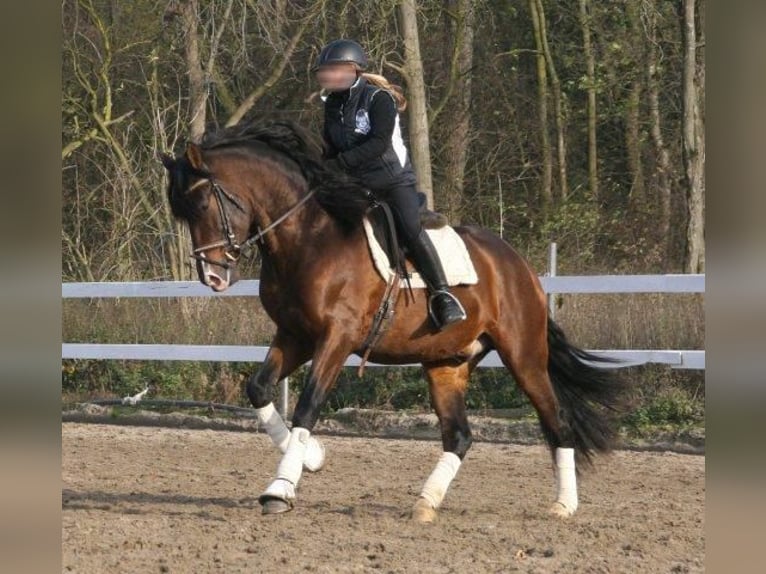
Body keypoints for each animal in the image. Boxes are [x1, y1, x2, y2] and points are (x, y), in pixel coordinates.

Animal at [159, 121, 628, 528]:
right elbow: (259, 389)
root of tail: (520, 265)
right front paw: (313, 457)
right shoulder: (295, 336)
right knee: (459, 436)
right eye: (181, 213)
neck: (309, 237)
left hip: (524, 356)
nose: (213, 277)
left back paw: (564, 505)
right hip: (446, 362)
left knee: (556, 421)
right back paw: (425, 503)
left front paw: (281, 487)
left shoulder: (336, 339)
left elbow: (308, 405)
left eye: (202, 204)